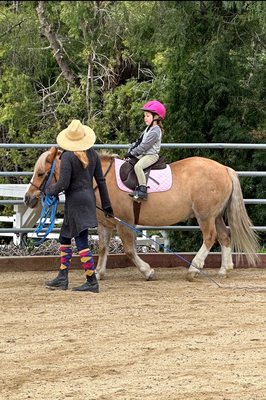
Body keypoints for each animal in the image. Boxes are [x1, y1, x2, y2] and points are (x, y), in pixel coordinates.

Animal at [23, 147, 258, 282]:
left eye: (41, 173)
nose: (28, 198)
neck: (102, 180)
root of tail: (224, 168)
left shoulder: (124, 222)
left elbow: (128, 250)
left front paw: (147, 271)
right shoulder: (105, 224)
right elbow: (102, 247)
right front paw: (98, 273)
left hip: (205, 215)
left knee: (210, 237)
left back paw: (193, 269)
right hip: (215, 215)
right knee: (225, 236)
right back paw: (224, 269)